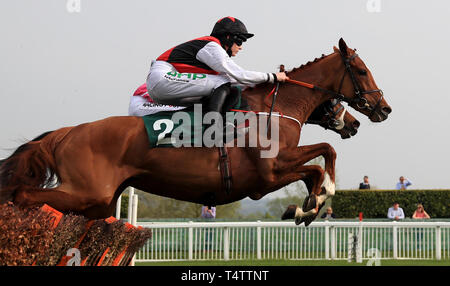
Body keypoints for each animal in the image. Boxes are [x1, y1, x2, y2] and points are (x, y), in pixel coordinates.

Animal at [0, 38, 390, 226]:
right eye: (360, 70)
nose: (382, 109)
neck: (274, 107)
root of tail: (66, 133)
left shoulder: (273, 173)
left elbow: (319, 162)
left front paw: (307, 207)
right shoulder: (267, 173)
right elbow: (323, 156)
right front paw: (316, 200)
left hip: (98, 202)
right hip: (87, 193)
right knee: (22, 193)